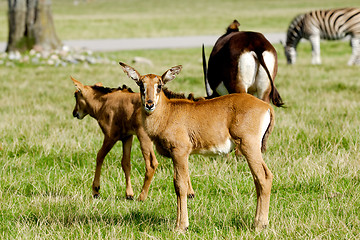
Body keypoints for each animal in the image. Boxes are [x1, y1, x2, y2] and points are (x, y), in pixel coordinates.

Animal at [119, 62, 274, 232]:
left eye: (159, 85)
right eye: (141, 84)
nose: (149, 104)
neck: (168, 113)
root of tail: (266, 107)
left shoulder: (180, 152)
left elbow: (180, 185)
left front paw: (181, 226)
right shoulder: (176, 157)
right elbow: (177, 183)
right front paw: (179, 223)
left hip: (249, 146)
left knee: (263, 177)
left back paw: (259, 224)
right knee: (258, 179)